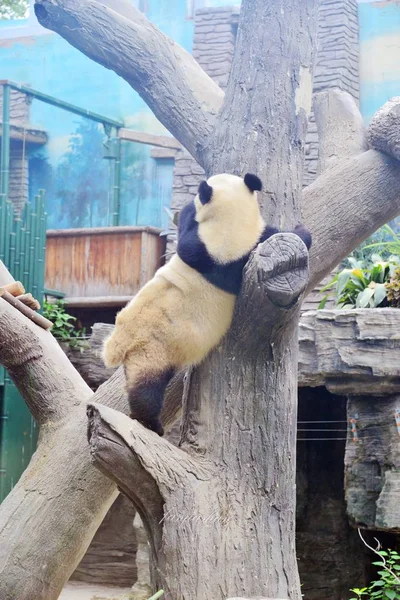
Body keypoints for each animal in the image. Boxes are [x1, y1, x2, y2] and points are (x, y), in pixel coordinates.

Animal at [101, 173, 310, 436]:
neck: (229, 224)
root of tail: (119, 344)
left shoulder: (205, 245)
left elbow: (186, 240)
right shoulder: (226, 254)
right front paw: (302, 231)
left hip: (144, 351)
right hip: (153, 349)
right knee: (147, 390)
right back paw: (151, 423)